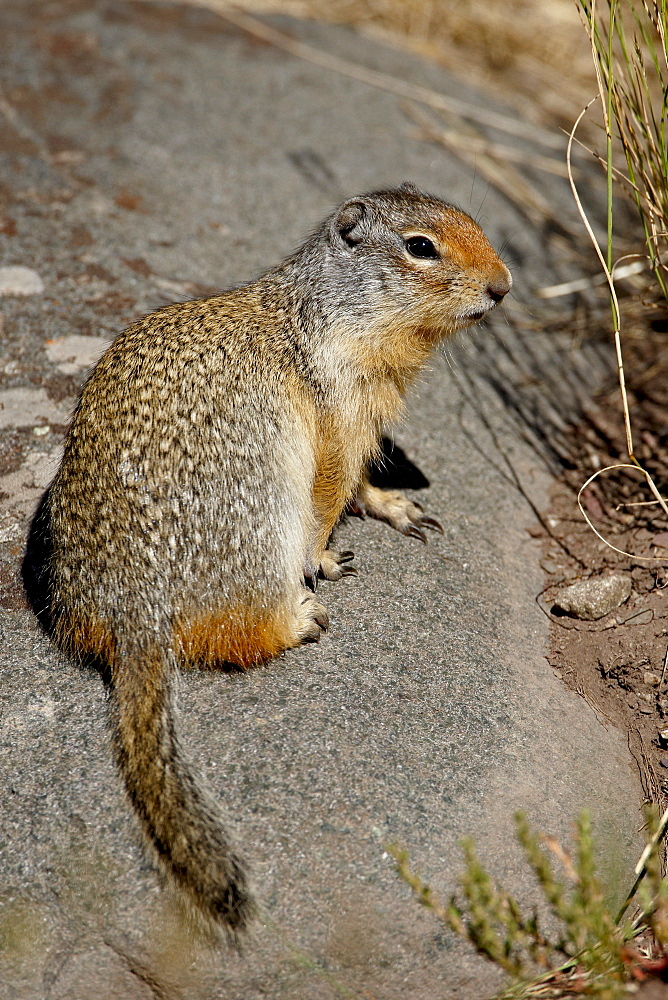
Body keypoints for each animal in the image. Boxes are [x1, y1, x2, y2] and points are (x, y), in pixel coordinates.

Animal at [40, 184, 512, 932]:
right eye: (420, 247)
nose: (504, 285)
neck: (328, 313)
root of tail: (130, 618)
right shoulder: (339, 409)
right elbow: (332, 488)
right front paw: (328, 557)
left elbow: (360, 482)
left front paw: (397, 505)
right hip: (261, 525)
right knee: (244, 634)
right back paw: (301, 617)